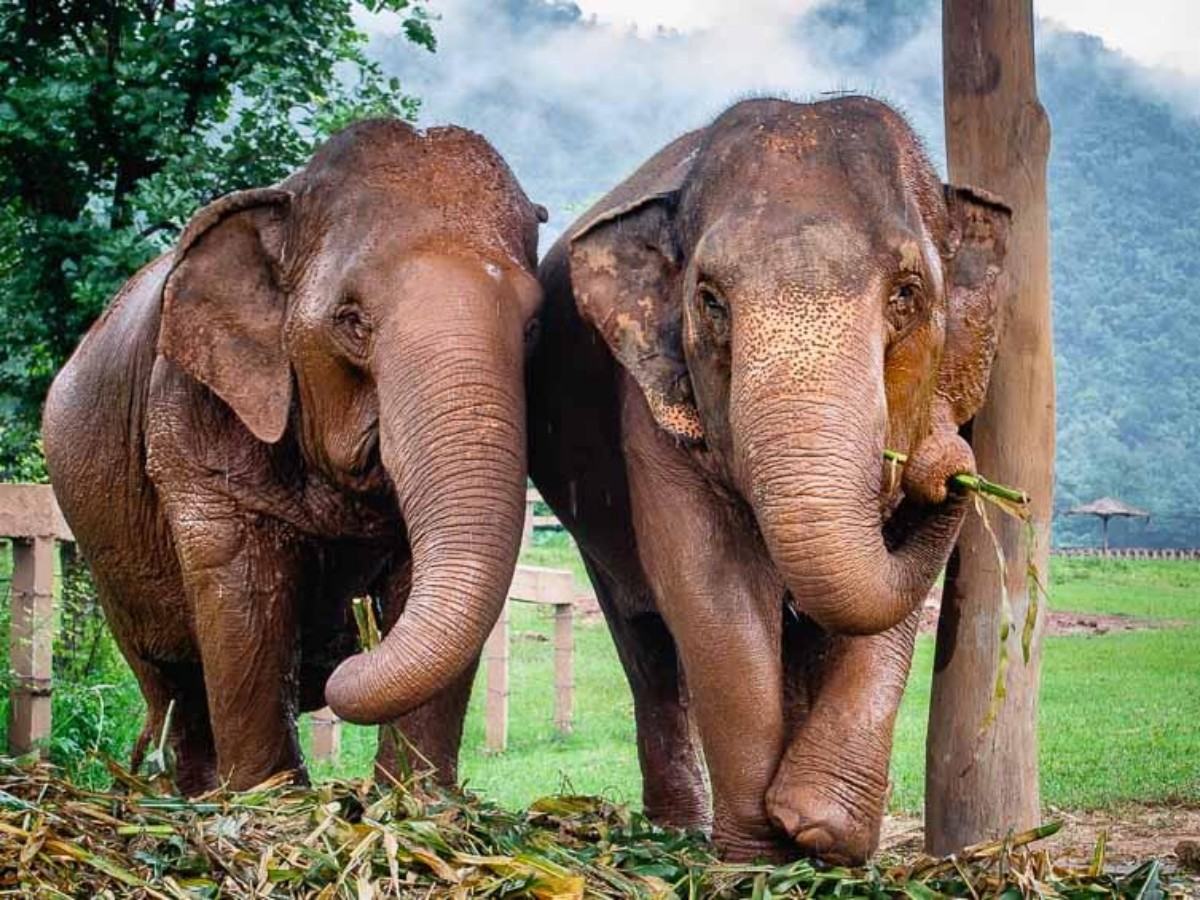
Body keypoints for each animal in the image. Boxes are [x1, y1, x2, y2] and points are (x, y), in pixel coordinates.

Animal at [43, 119, 546, 793]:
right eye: (351, 320)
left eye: (533, 327)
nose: (346, 649)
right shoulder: (192, 409)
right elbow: (244, 588)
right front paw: (271, 797)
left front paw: (414, 799)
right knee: (174, 683)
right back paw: (197, 793)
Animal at [528, 96, 1009, 863]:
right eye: (710, 300)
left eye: (907, 294)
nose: (949, 459)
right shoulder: (652, 406)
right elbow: (710, 577)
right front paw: (761, 851)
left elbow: (884, 591)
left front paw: (822, 832)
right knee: (645, 639)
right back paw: (678, 831)